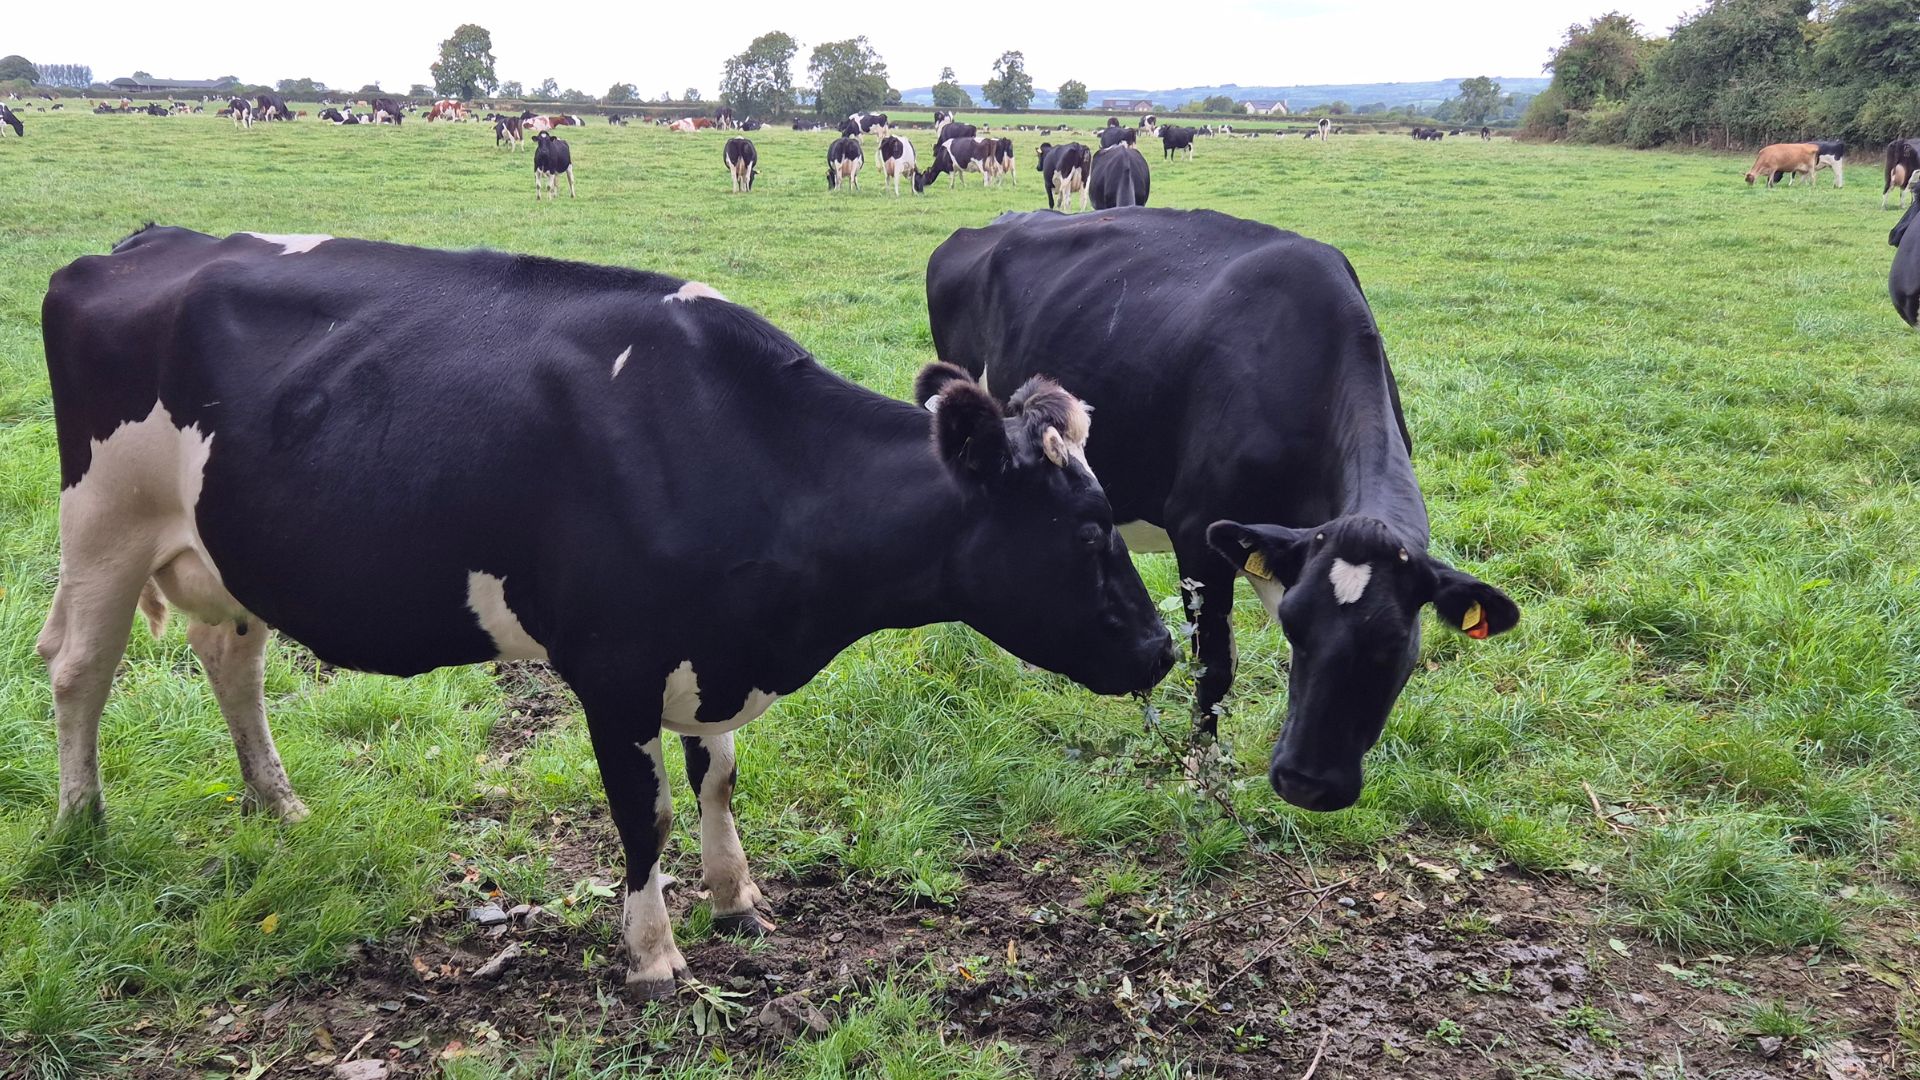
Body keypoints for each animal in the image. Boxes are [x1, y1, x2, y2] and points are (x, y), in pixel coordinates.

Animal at [37, 222, 1167, 999]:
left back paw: (278, 802)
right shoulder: (614, 667)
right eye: (1086, 530)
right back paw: (81, 820)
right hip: (102, 526)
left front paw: (737, 900)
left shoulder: (707, 652)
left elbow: (720, 780)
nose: (1160, 648)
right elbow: (646, 811)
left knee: (231, 658)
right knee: (78, 670)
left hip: (227, 554)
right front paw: (656, 955)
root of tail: (142, 245)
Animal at [921, 205, 1520, 803]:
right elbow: (1213, 665)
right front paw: (1201, 775)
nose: (1308, 783)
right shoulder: (1198, 532)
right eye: (1297, 627)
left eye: (1398, 645)